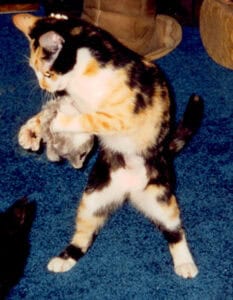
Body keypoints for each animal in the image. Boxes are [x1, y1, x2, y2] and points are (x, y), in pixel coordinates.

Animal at [12, 12, 203, 278]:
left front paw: (56, 122)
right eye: (35, 71)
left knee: (174, 230)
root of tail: (128, 191)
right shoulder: (71, 99)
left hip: (160, 198)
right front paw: (30, 130)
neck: (83, 74)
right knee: (84, 236)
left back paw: (185, 263)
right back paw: (63, 259)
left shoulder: (121, 116)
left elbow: (89, 118)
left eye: (47, 74)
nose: (43, 86)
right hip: (93, 198)